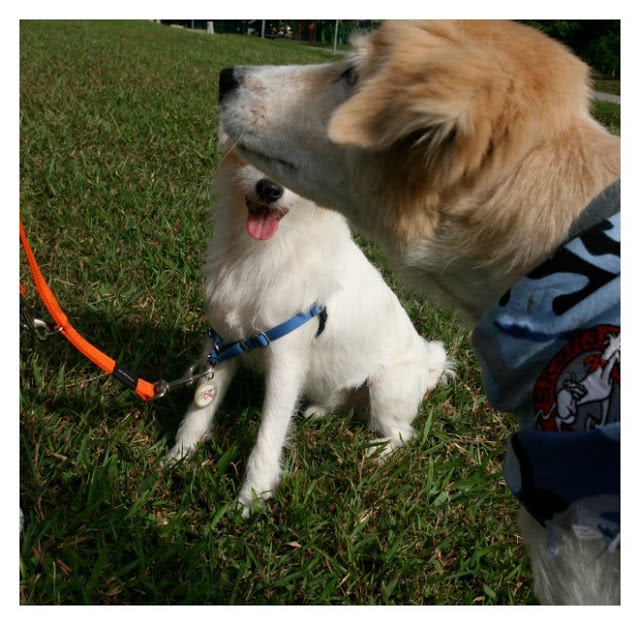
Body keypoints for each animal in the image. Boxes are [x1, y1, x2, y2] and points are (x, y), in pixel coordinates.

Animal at [166, 145, 454, 517]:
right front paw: (179, 456)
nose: (269, 189)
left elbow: (269, 435)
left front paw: (253, 495)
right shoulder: (225, 344)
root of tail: (430, 364)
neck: (266, 249)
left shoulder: (286, 363)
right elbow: (199, 410)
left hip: (386, 388)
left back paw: (375, 451)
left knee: (404, 434)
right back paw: (319, 411)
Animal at [217, 20, 620, 604]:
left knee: (401, 434)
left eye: (353, 73)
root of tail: (430, 362)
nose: (226, 75)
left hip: (388, 389)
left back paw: (375, 452)